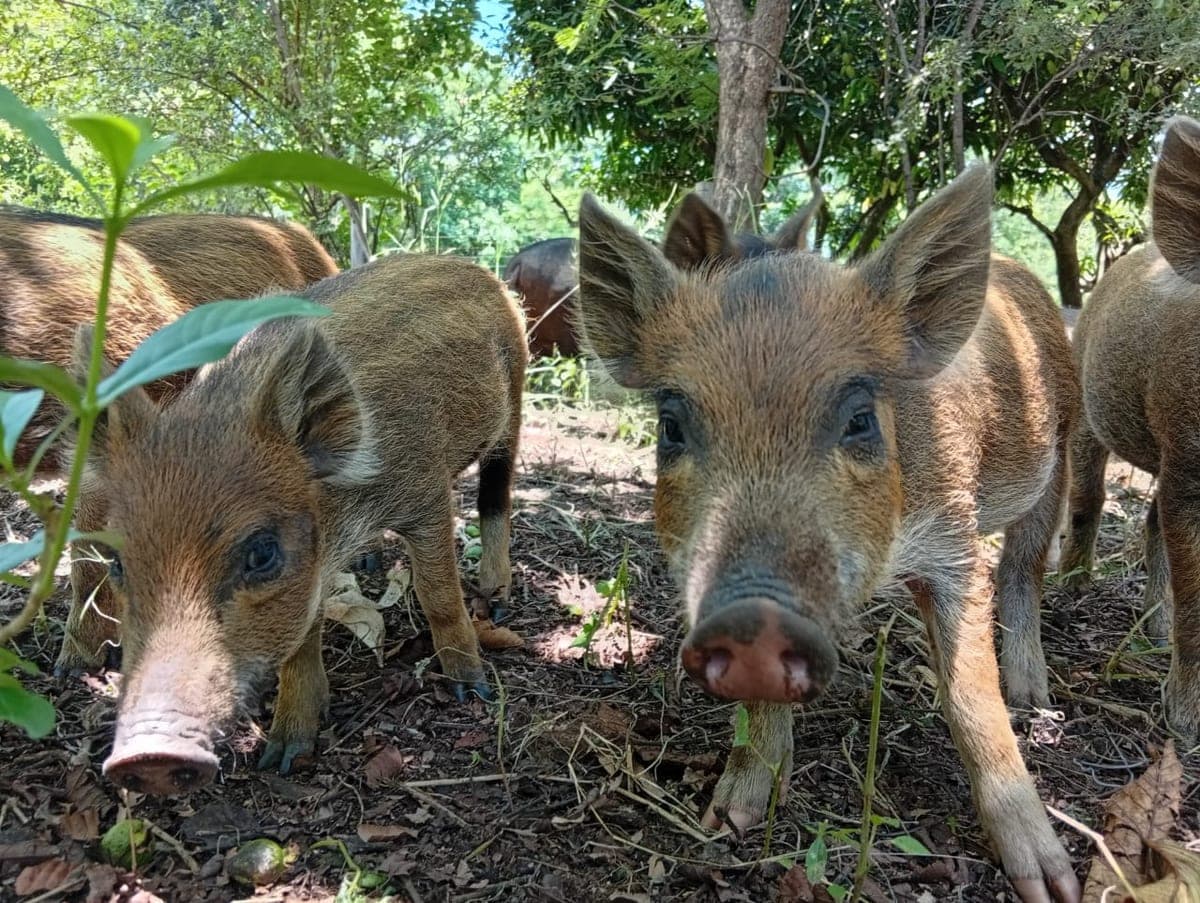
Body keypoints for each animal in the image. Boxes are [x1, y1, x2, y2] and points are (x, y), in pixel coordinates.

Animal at [70, 252, 525, 795]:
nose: (147, 757)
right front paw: (283, 755)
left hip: (516, 394)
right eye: (117, 562)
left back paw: (496, 600)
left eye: (262, 551)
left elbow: (437, 594)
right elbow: (301, 636)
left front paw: (471, 690)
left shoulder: (425, 490)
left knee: (497, 495)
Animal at [575, 167, 1080, 902]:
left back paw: (1034, 698)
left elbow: (971, 697)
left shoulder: (954, 541)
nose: (755, 619)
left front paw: (1052, 884)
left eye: (860, 418)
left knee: (1024, 568)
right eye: (671, 425)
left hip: (1065, 445)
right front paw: (727, 821)